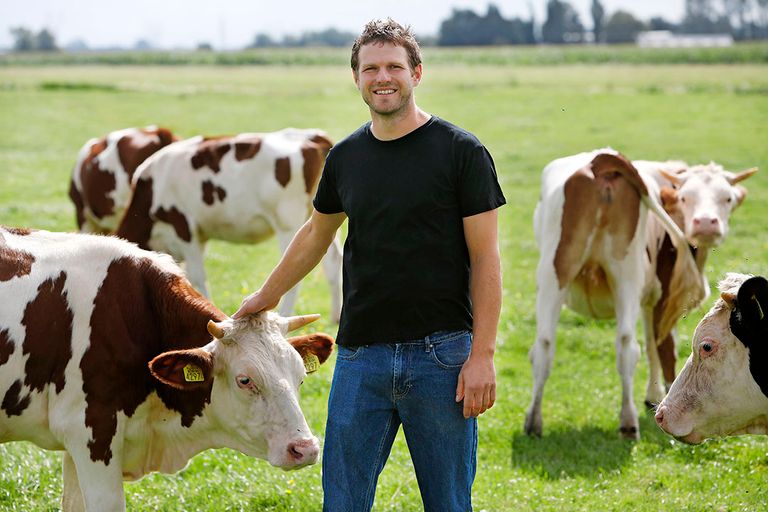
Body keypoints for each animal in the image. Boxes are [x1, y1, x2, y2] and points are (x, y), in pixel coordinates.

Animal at [114, 128, 342, 322]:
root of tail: (310, 136)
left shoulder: (185, 229)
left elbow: (197, 276)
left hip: (288, 223)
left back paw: (285, 314)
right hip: (318, 217)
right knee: (332, 262)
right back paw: (335, 317)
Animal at [520, 149, 756, 440]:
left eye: (727, 198)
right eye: (685, 197)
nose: (705, 224)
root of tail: (601, 161)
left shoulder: (647, 300)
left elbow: (652, 342)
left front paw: (654, 395)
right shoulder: (663, 295)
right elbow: (663, 345)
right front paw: (663, 393)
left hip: (553, 276)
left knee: (543, 346)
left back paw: (533, 421)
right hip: (627, 277)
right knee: (627, 346)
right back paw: (628, 421)